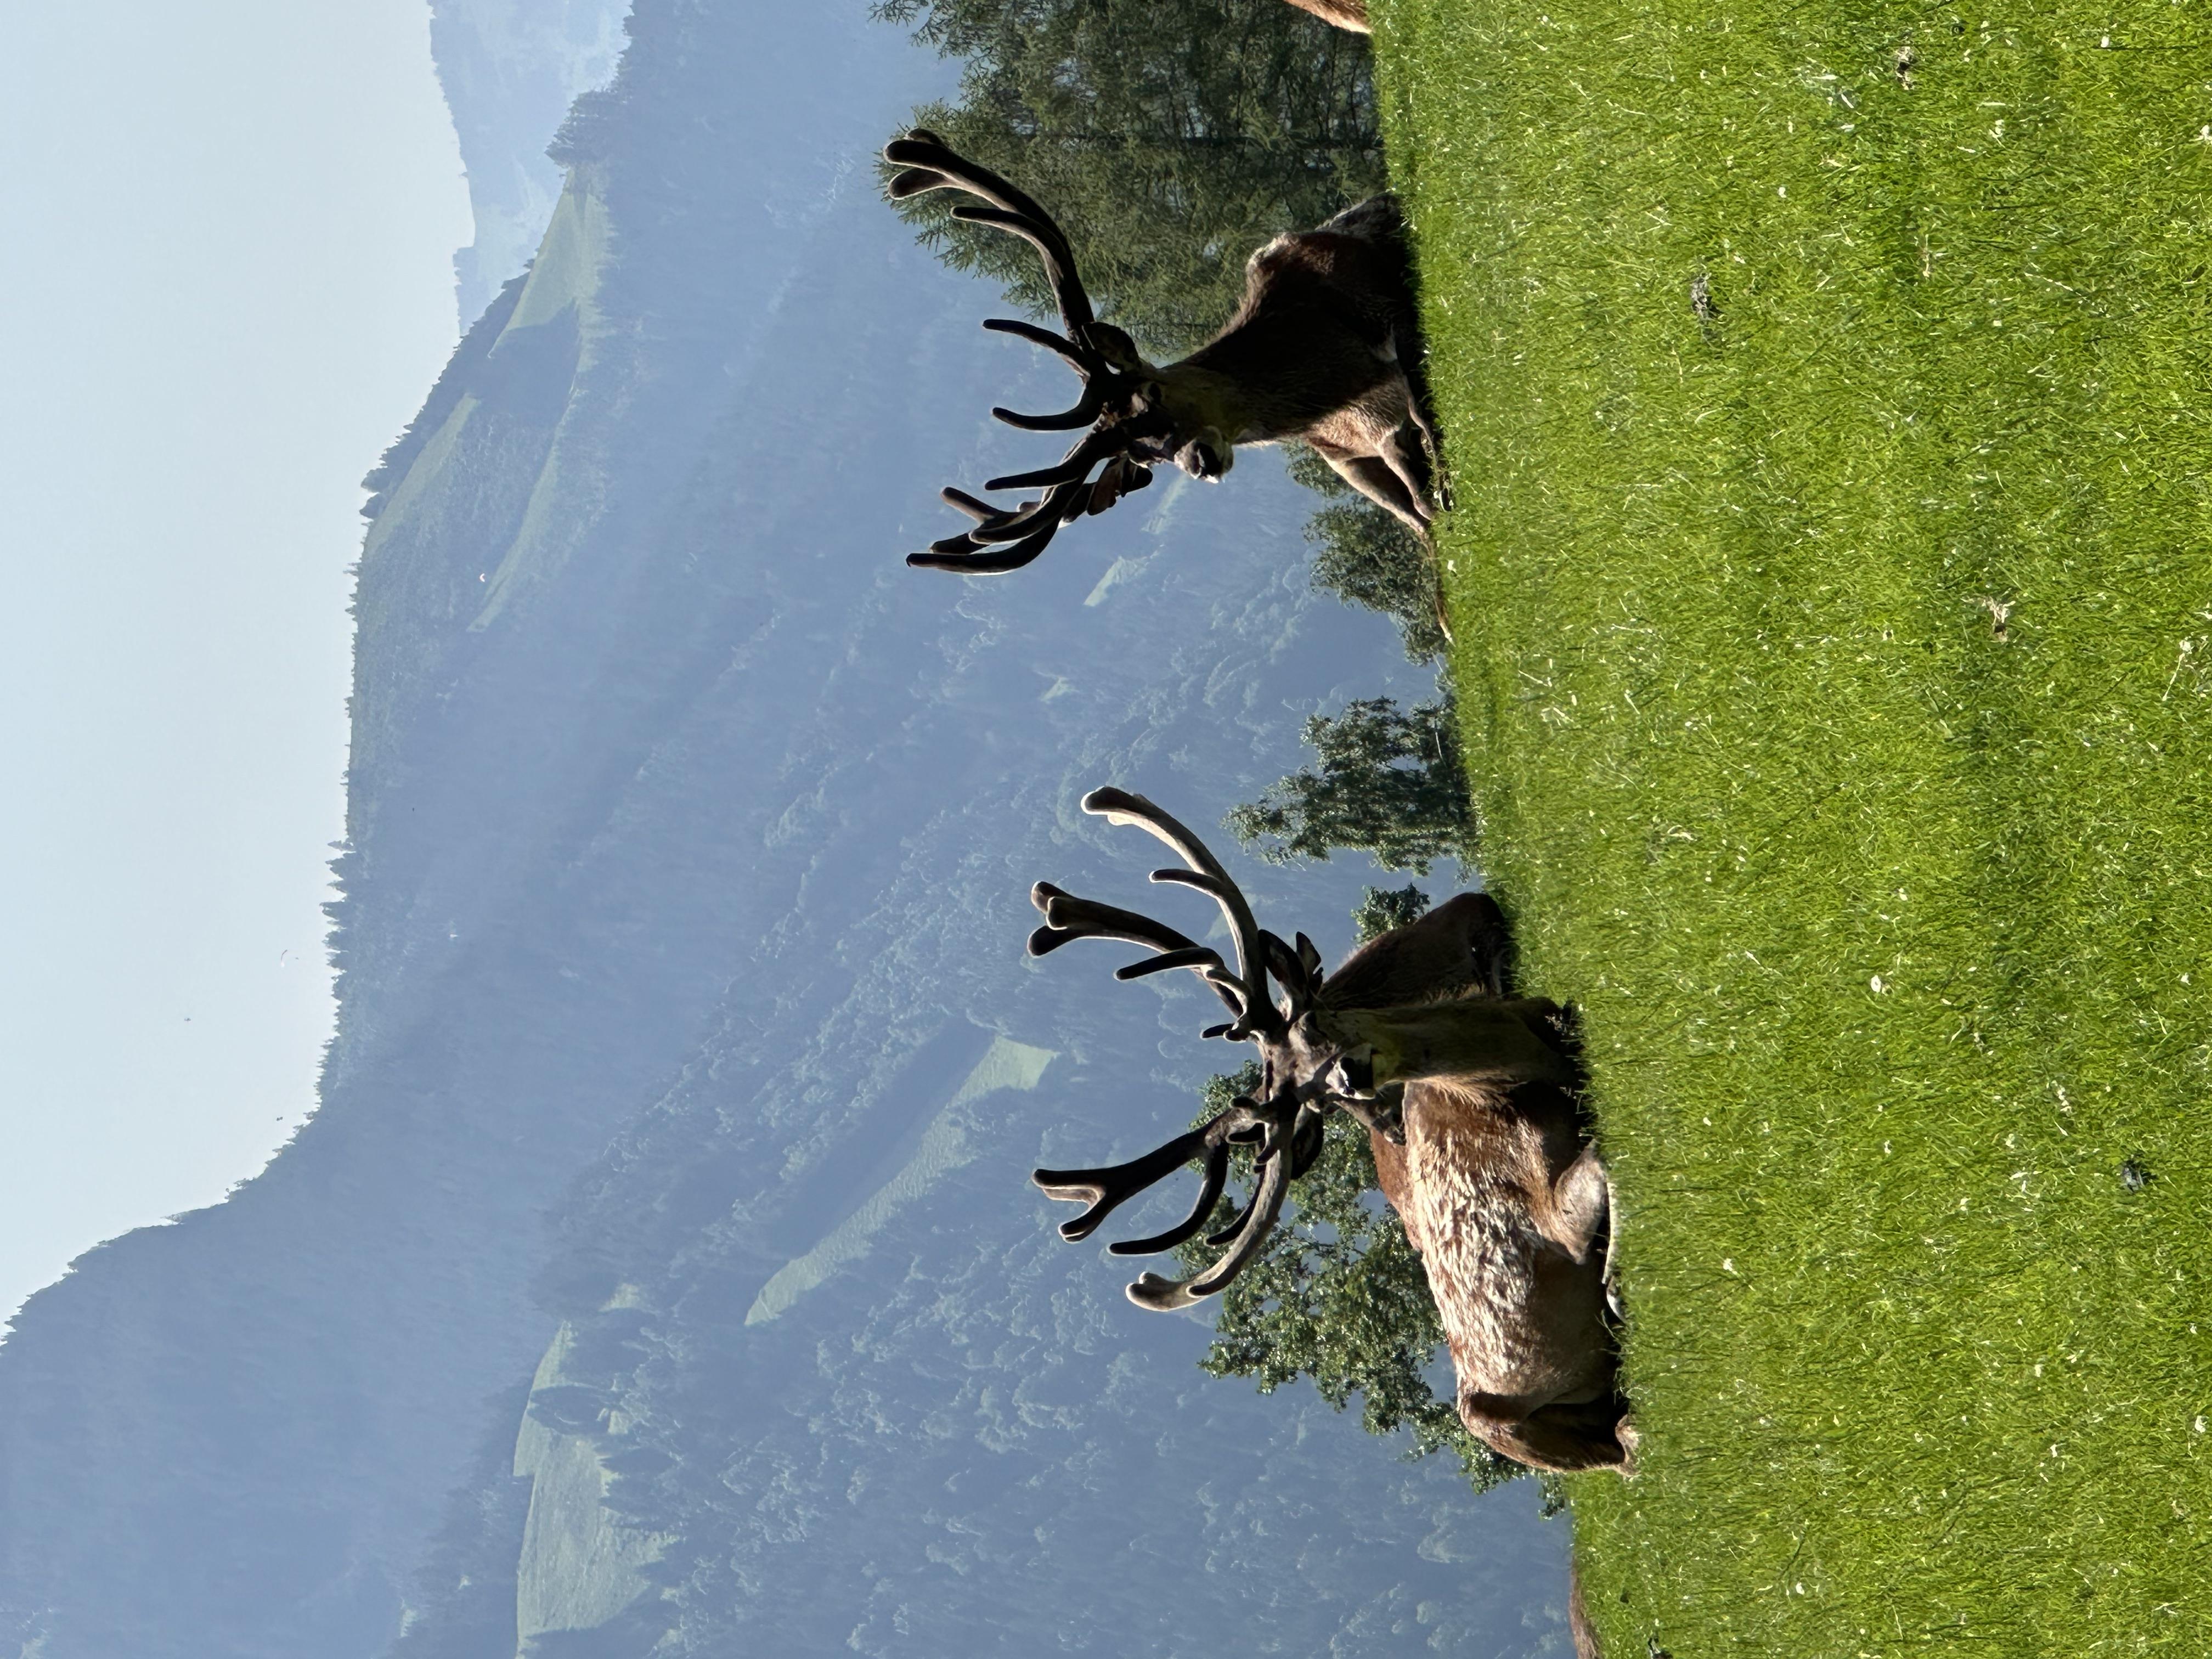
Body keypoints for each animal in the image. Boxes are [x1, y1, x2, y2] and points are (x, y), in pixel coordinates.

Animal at [883, 132, 1443, 577]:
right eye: (1142, 456)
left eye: (1154, 392)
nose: (1199, 461)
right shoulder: (1340, 453)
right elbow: (1421, 525)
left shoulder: (1391, 307)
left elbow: (1425, 425)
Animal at [1024, 787, 1633, 1475]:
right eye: (1320, 1096)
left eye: (1317, 1020)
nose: (1350, 1072)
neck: (1506, 1088)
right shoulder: (1542, 1219)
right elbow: (1602, 1167)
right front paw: (1614, 1283)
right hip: (1501, 1420)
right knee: (1621, 1448)